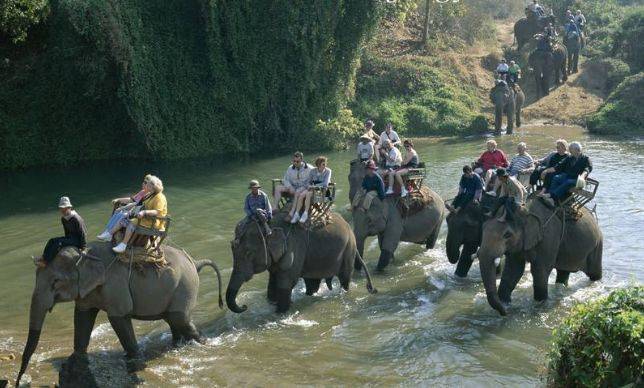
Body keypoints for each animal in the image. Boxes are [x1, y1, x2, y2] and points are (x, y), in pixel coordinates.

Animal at [15, 242, 224, 384]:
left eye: (56, 282)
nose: (18, 381)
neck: (85, 255)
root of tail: (195, 262)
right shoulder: (87, 292)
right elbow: (82, 316)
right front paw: (76, 358)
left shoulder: (116, 286)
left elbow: (118, 318)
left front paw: (133, 362)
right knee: (174, 321)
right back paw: (178, 345)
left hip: (185, 287)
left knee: (180, 319)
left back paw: (203, 343)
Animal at [226, 211, 378, 314]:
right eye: (232, 248)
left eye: (248, 253)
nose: (244, 306)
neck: (270, 224)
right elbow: (273, 281)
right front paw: (273, 304)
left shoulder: (294, 247)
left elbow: (286, 282)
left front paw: (280, 313)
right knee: (312, 282)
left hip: (348, 249)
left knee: (344, 278)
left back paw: (343, 293)